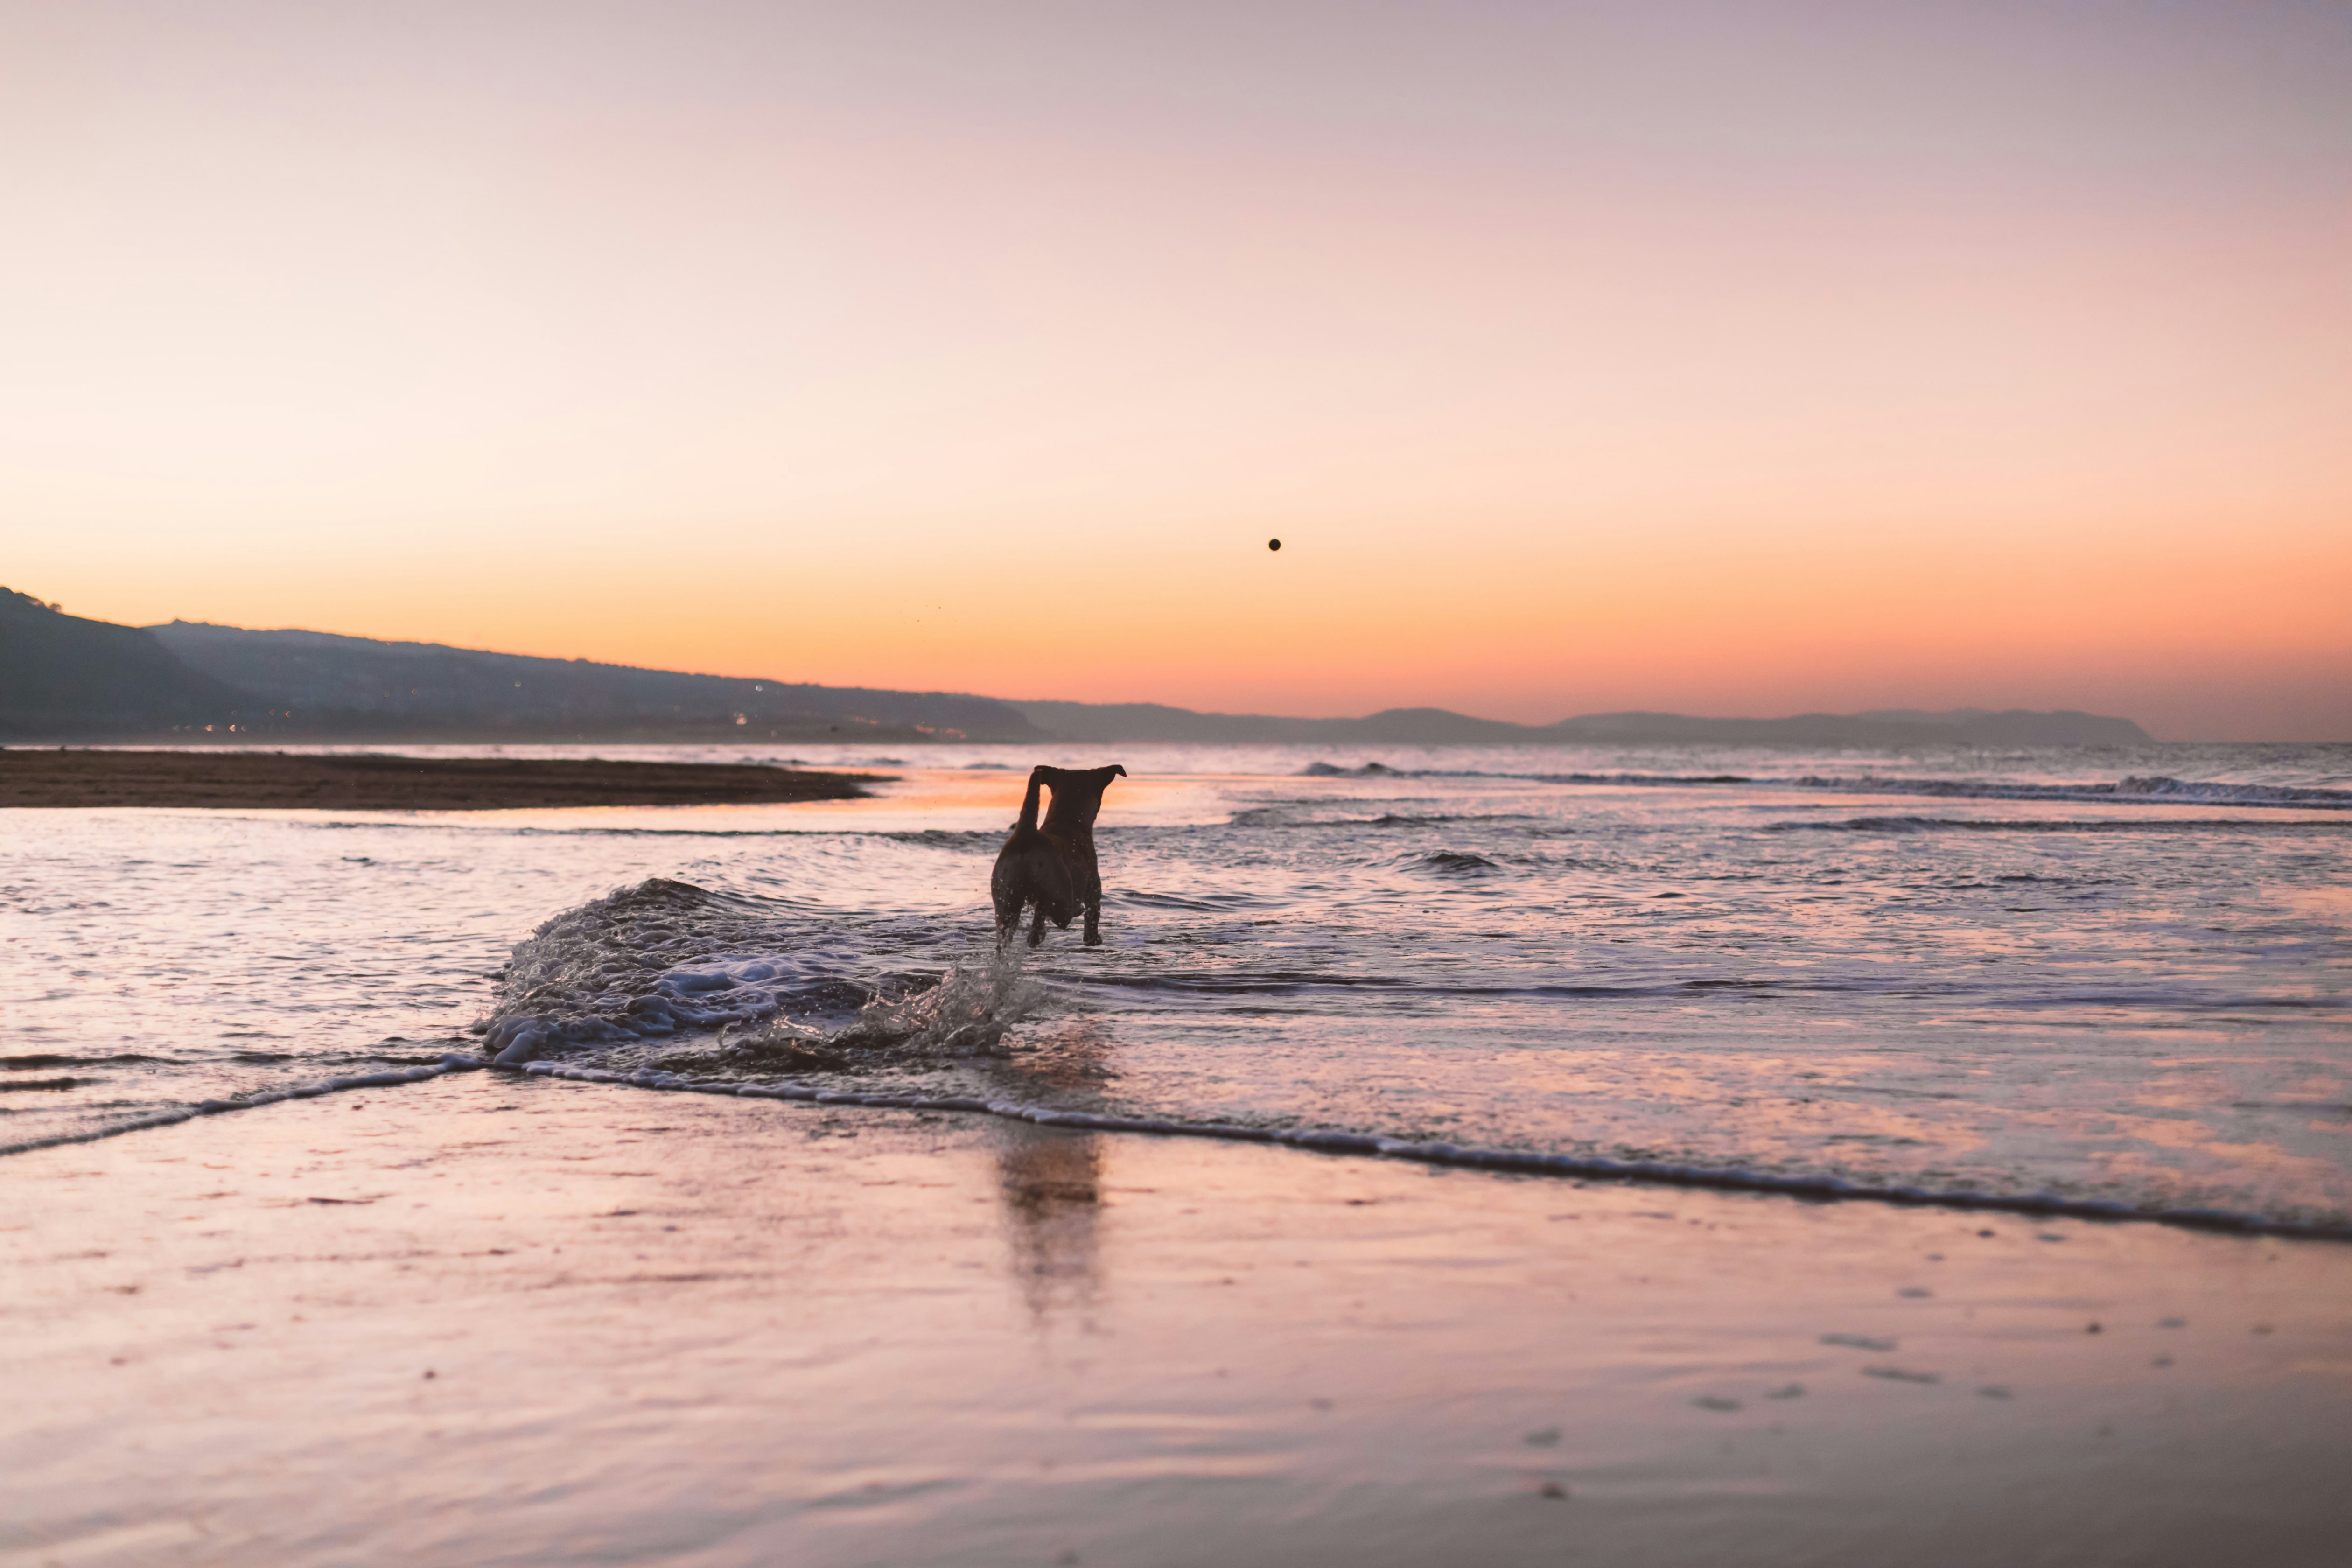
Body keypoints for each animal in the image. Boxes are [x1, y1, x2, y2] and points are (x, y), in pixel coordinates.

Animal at [987, 766, 1124, 950]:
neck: (1066, 820)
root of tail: (1026, 836)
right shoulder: (1093, 888)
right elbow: (1092, 917)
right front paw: (1094, 939)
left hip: (1005, 896)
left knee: (1008, 931)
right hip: (1059, 889)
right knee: (1052, 912)